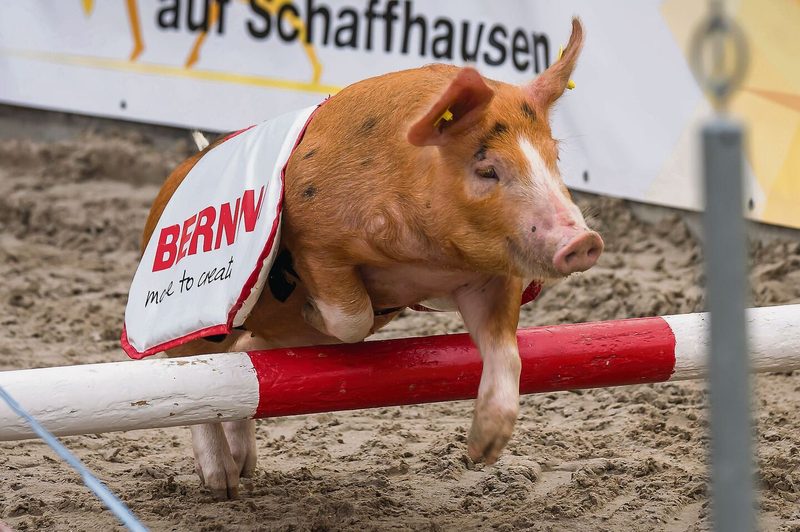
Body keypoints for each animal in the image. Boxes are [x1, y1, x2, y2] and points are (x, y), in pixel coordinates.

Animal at [142, 18, 602, 499]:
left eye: (554, 158)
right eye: (487, 169)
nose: (583, 241)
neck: (425, 256)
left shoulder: (489, 277)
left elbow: (506, 352)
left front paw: (482, 451)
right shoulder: (316, 240)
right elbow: (352, 318)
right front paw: (314, 310)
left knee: (242, 366)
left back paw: (245, 467)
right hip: (197, 319)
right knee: (187, 376)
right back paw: (223, 485)